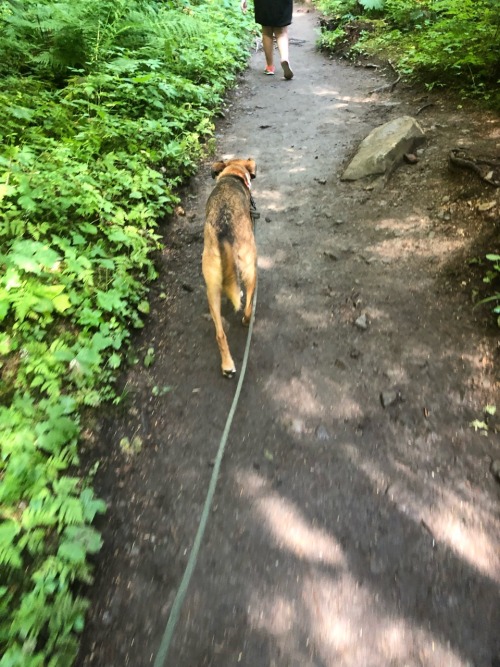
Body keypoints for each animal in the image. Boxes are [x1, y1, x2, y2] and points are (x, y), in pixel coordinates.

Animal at [202, 157, 258, 376]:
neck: (233, 174)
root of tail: (224, 231)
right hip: (252, 266)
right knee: (249, 304)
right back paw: (246, 321)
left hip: (212, 289)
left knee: (220, 333)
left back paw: (227, 365)